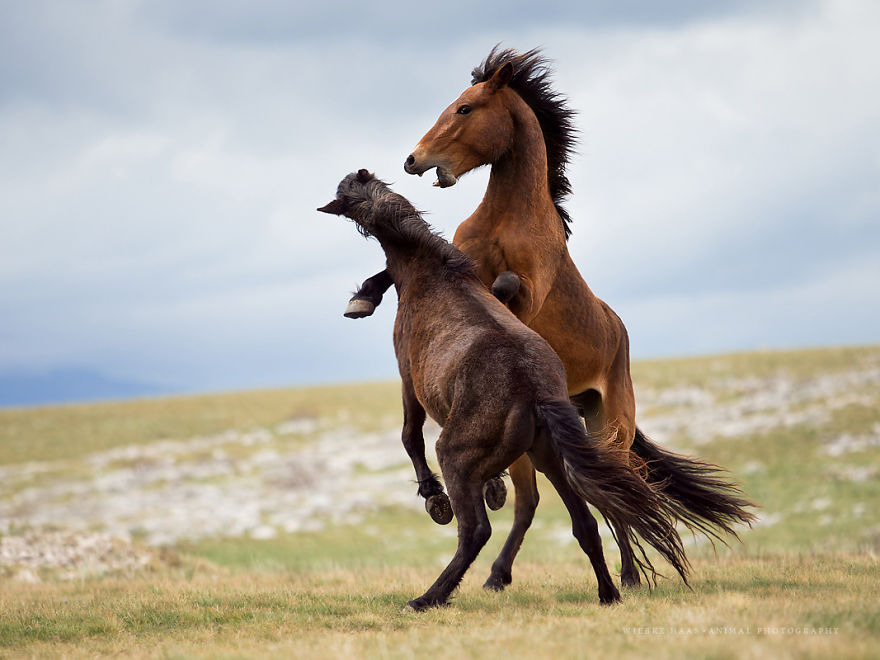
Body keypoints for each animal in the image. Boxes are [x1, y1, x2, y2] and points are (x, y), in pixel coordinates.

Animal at [319, 169, 692, 609]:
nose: (344, 181)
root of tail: (536, 392)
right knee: (584, 523)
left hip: (458, 455)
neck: (433, 274)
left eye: (346, 193)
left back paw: (429, 597)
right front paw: (492, 487)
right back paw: (608, 593)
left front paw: (433, 497)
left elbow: (410, 437)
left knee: (476, 531)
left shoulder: (408, 378)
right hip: (551, 460)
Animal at [344, 47, 755, 590]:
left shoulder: (527, 292)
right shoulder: (454, 259)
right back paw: (499, 570)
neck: (506, 217)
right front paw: (362, 298)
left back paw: (625, 576)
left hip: (611, 425)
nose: (413, 161)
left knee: (618, 492)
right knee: (538, 499)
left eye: (465, 108)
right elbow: (393, 270)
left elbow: (502, 286)